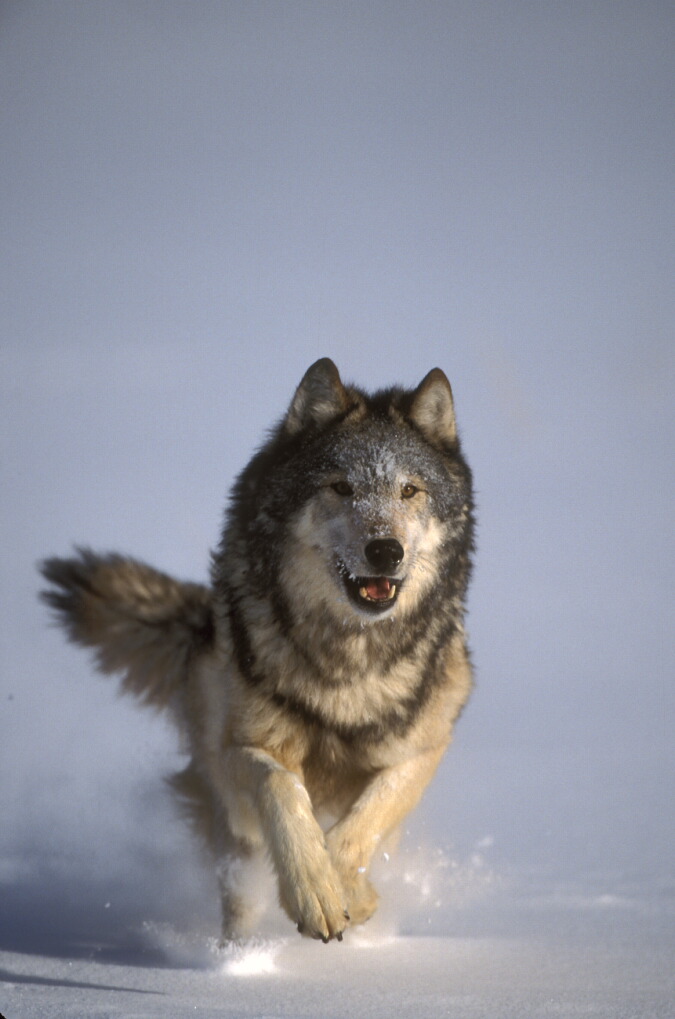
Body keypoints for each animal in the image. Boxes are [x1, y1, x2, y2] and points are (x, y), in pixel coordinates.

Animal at [41, 360, 475, 945]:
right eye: (342, 487)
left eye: (410, 490)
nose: (386, 550)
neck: (348, 661)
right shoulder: (236, 753)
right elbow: (281, 786)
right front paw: (316, 892)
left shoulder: (425, 746)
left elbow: (369, 816)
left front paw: (351, 893)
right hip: (229, 828)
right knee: (241, 894)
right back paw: (237, 957)